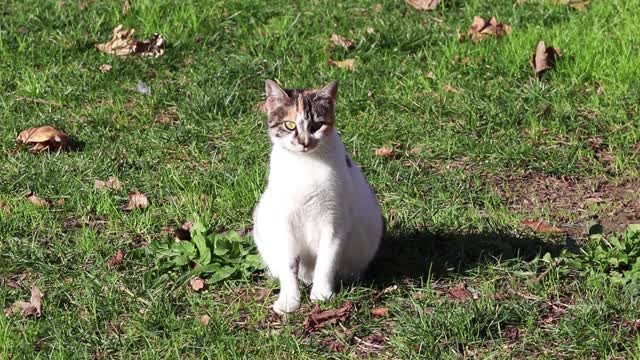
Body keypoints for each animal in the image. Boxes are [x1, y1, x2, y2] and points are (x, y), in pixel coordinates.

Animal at [251, 80, 382, 314]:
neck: (306, 164)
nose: (303, 142)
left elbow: (326, 260)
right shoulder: (285, 220)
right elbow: (289, 263)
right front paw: (289, 300)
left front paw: (321, 295)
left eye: (316, 126)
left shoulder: (334, 220)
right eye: (289, 125)